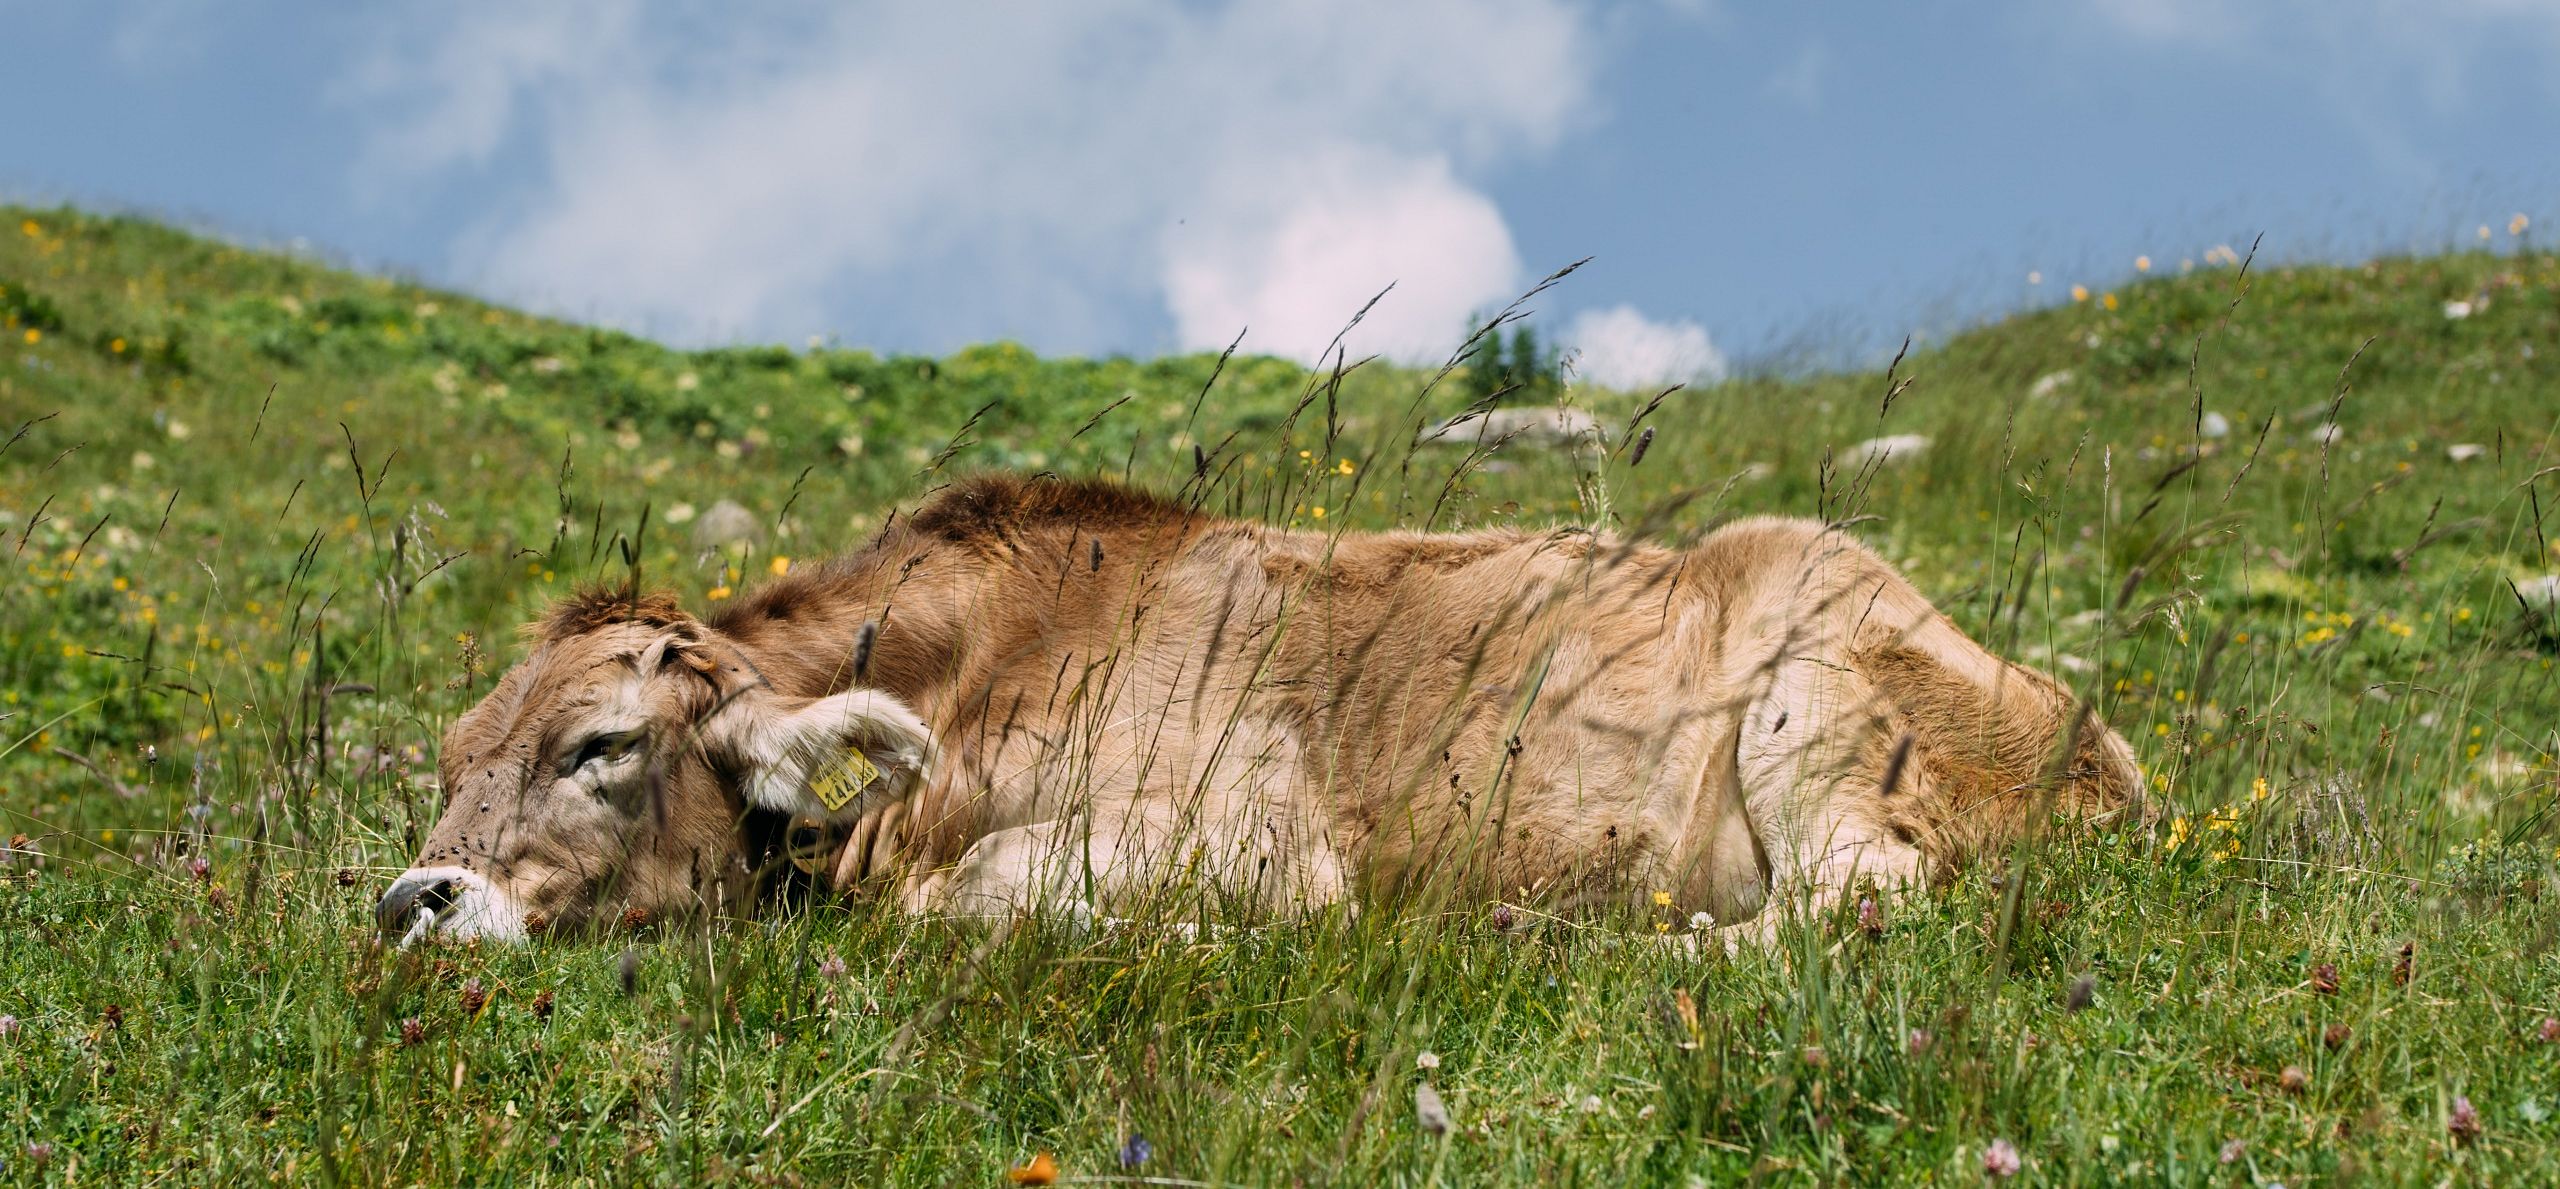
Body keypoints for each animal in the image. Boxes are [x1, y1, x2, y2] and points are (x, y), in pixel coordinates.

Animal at [373, 474, 2140, 948]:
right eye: (453, 756)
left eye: (599, 747)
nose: (410, 901)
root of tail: (2099, 750)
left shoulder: (1257, 840)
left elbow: (973, 904)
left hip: (1819, 692)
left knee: (1861, 898)